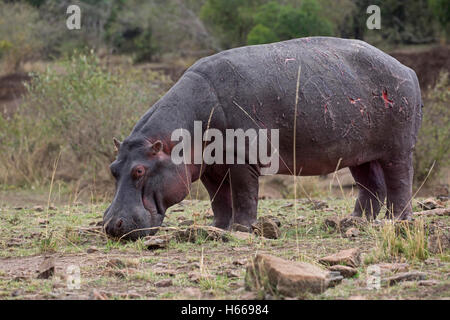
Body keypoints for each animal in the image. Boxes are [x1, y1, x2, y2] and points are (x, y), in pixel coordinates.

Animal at [103, 37, 422, 240]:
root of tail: (406, 68)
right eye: (113, 169)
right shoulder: (208, 167)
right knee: (371, 185)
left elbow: (244, 194)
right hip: (360, 152)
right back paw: (353, 221)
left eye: (139, 170)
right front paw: (218, 227)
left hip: (397, 148)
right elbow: (219, 198)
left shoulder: (243, 159)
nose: (110, 226)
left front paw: (242, 229)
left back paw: (397, 221)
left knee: (400, 180)